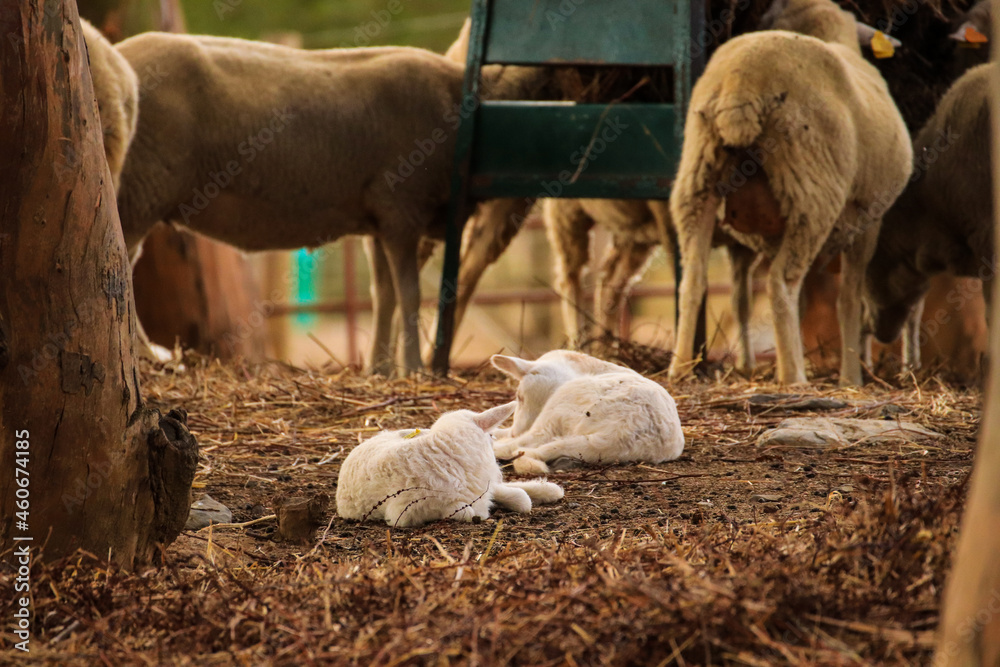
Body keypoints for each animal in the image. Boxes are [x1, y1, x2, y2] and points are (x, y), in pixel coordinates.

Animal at [114, 32, 512, 376]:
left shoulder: (380, 220)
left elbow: (384, 295)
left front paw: (380, 368)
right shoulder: (402, 208)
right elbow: (409, 295)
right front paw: (412, 369)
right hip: (141, 186)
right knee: (123, 262)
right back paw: (144, 354)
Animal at [335, 402, 564, 527]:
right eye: (490, 436)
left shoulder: (482, 487)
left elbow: (520, 498)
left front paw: (540, 492)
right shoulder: (402, 514)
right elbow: (470, 512)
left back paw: (551, 489)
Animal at [667, 0, 913, 386]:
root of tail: (743, 79)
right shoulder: (868, 217)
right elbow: (848, 299)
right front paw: (851, 377)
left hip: (698, 172)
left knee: (693, 278)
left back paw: (680, 369)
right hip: (811, 190)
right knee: (780, 284)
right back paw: (793, 375)